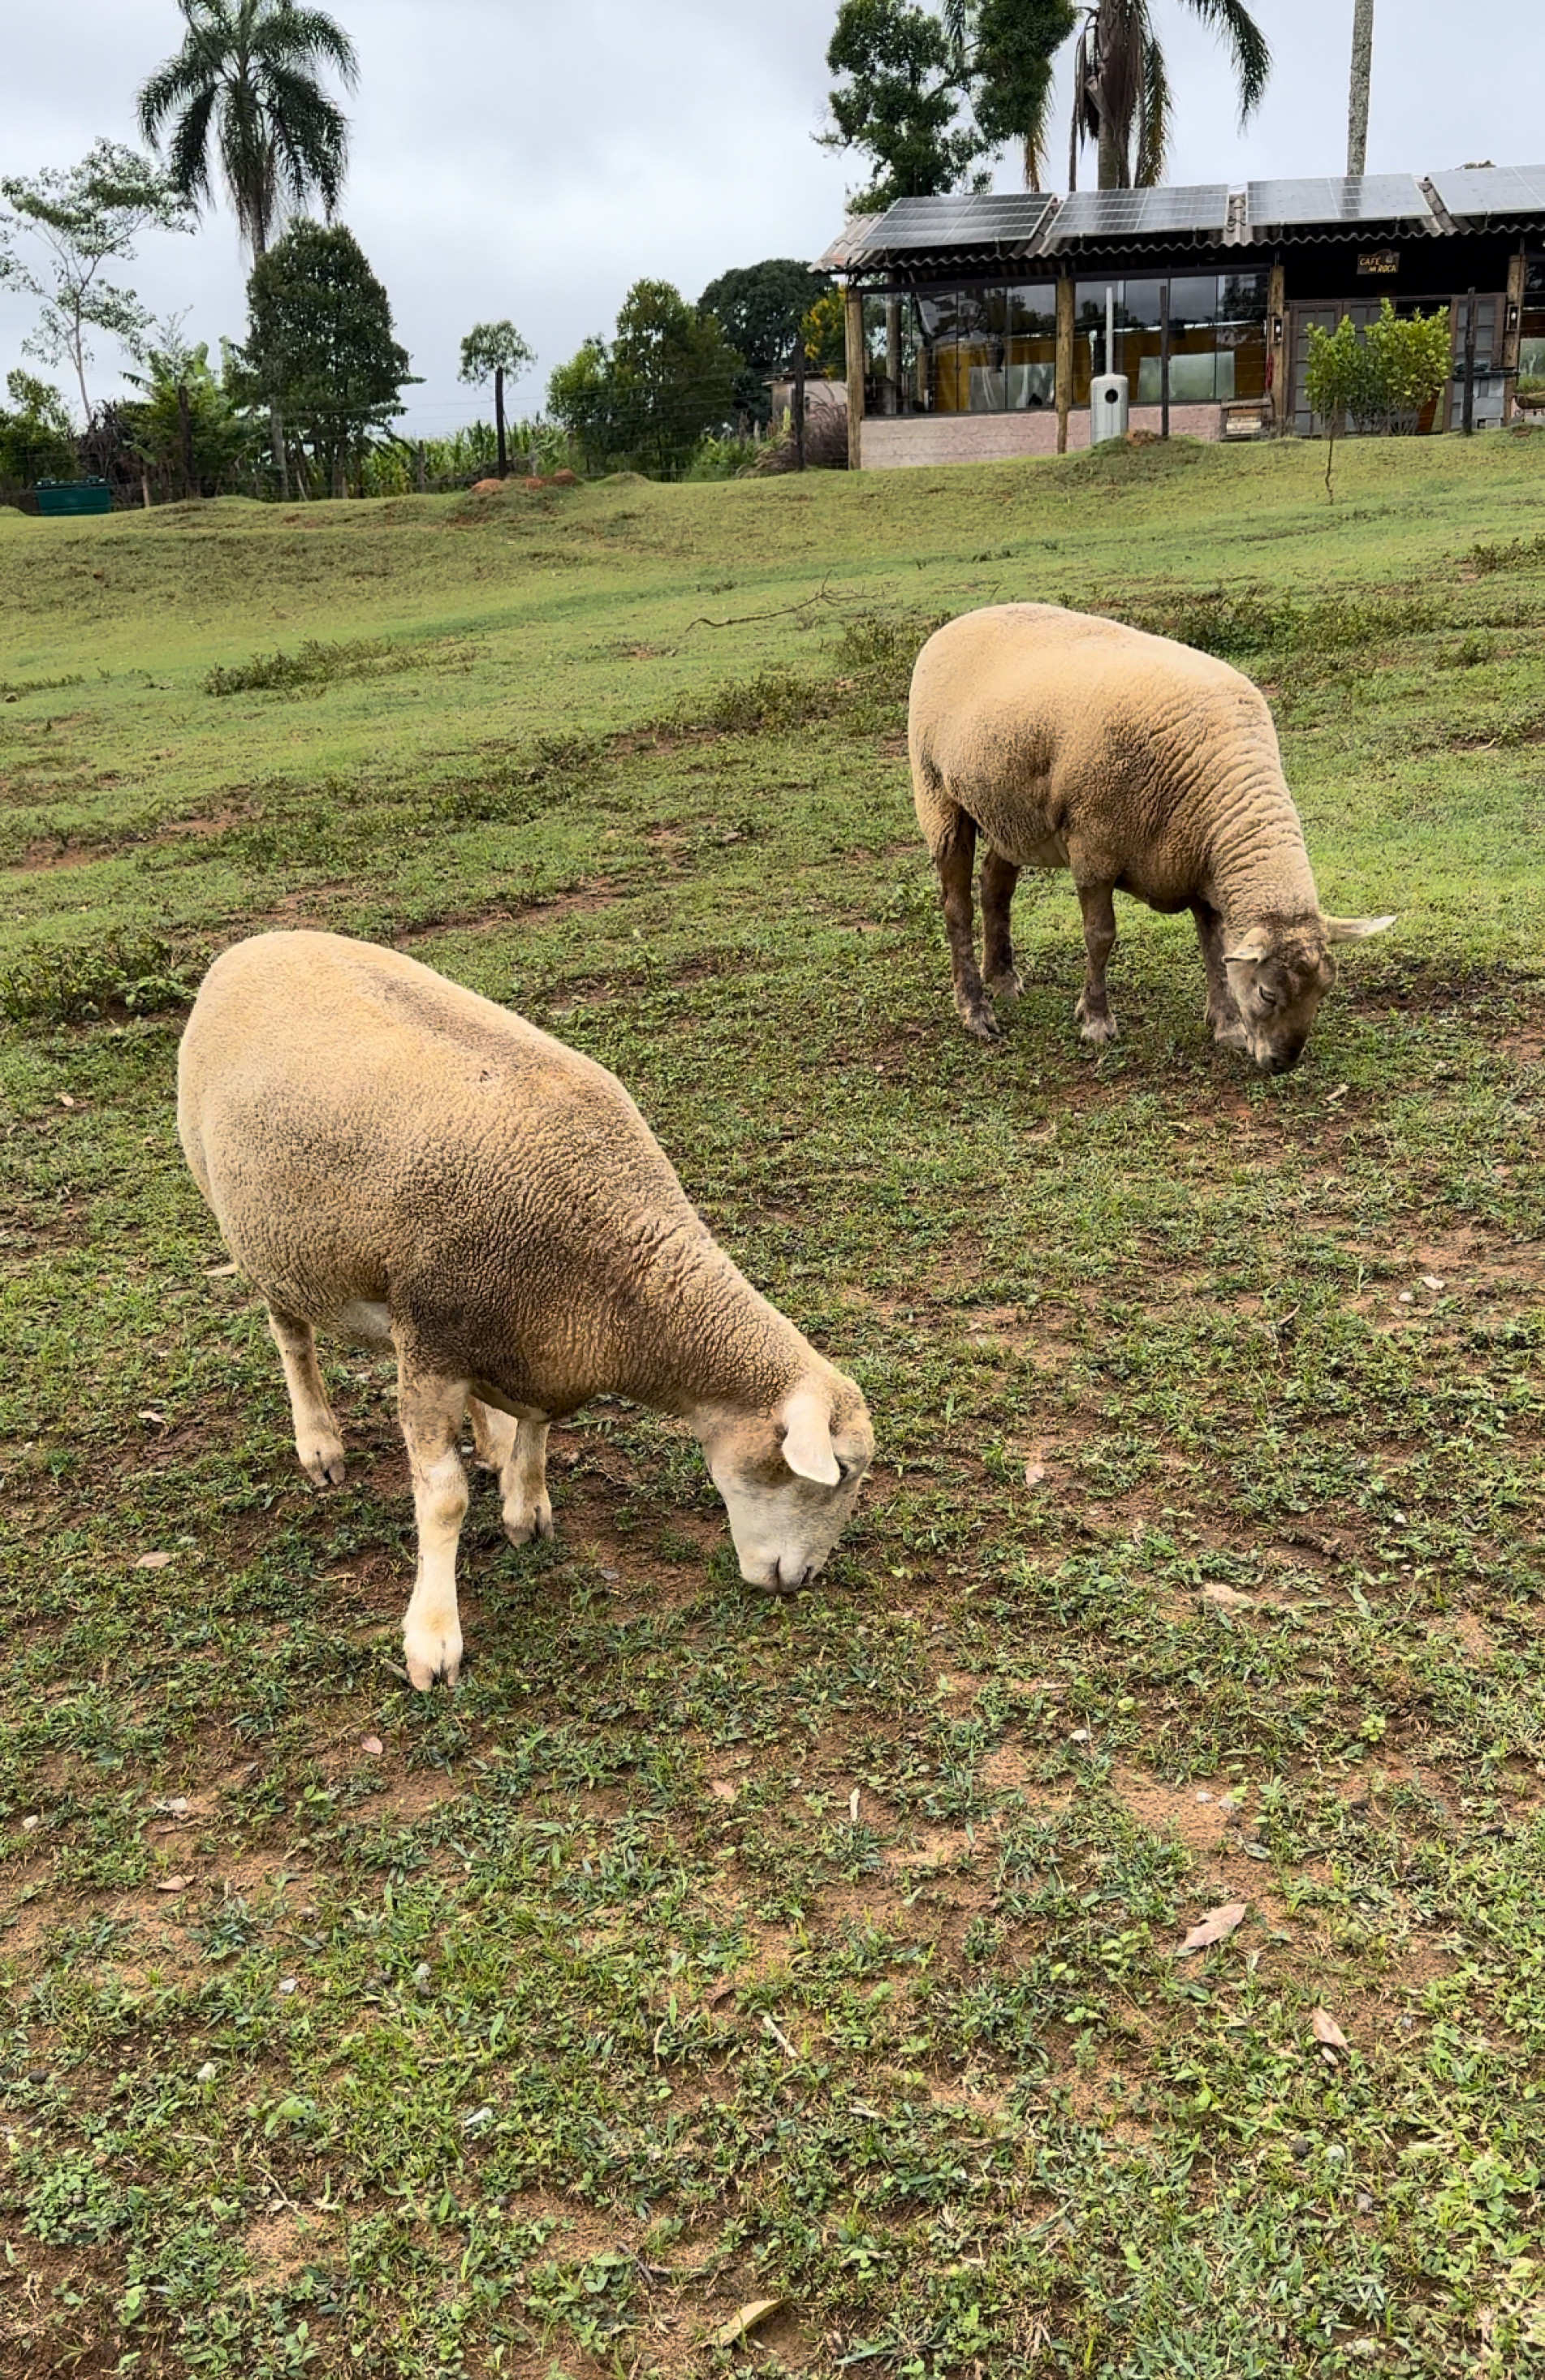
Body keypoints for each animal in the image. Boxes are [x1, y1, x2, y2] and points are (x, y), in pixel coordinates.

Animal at [175, 928, 876, 1694]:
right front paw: (433, 1638)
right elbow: (442, 1498)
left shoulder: (536, 1340)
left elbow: (538, 1424)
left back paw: (488, 1442)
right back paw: (320, 1444)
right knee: (291, 1338)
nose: (801, 1580)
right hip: (257, 1234)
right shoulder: (431, 1336)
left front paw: (525, 1504)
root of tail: (255, 942)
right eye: (838, 1473)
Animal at [909, 599, 1390, 1076]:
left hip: (1008, 814)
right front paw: (1096, 1021)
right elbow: (1100, 936)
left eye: (1324, 991)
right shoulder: (1094, 847)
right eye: (1267, 993)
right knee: (956, 908)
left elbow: (1214, 945)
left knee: (995, 886)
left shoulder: (1199, 863)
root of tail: (959, 621)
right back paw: (975, 1009)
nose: (1281, 1063)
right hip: (938, 794)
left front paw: (1227, 1025)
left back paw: (1003, 979)